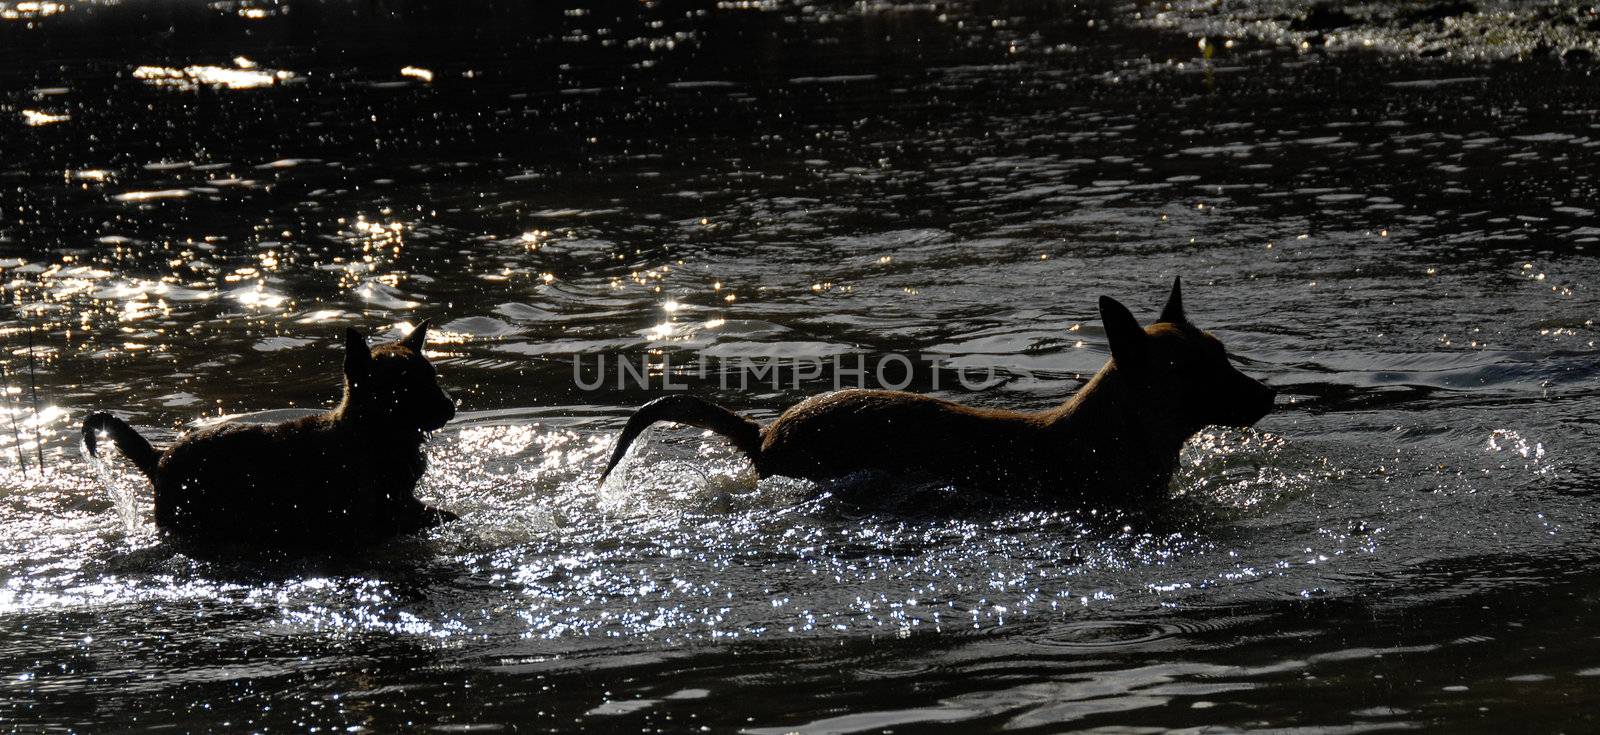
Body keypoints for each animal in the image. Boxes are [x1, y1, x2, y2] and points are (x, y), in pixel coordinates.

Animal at [85, 320, 460, 547]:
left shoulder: (402, 505)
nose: (450, 407)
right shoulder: (375, 520)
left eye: (432, 379)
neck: (371, 437)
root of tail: (160, 456)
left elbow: (442, 515)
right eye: (406, 388)